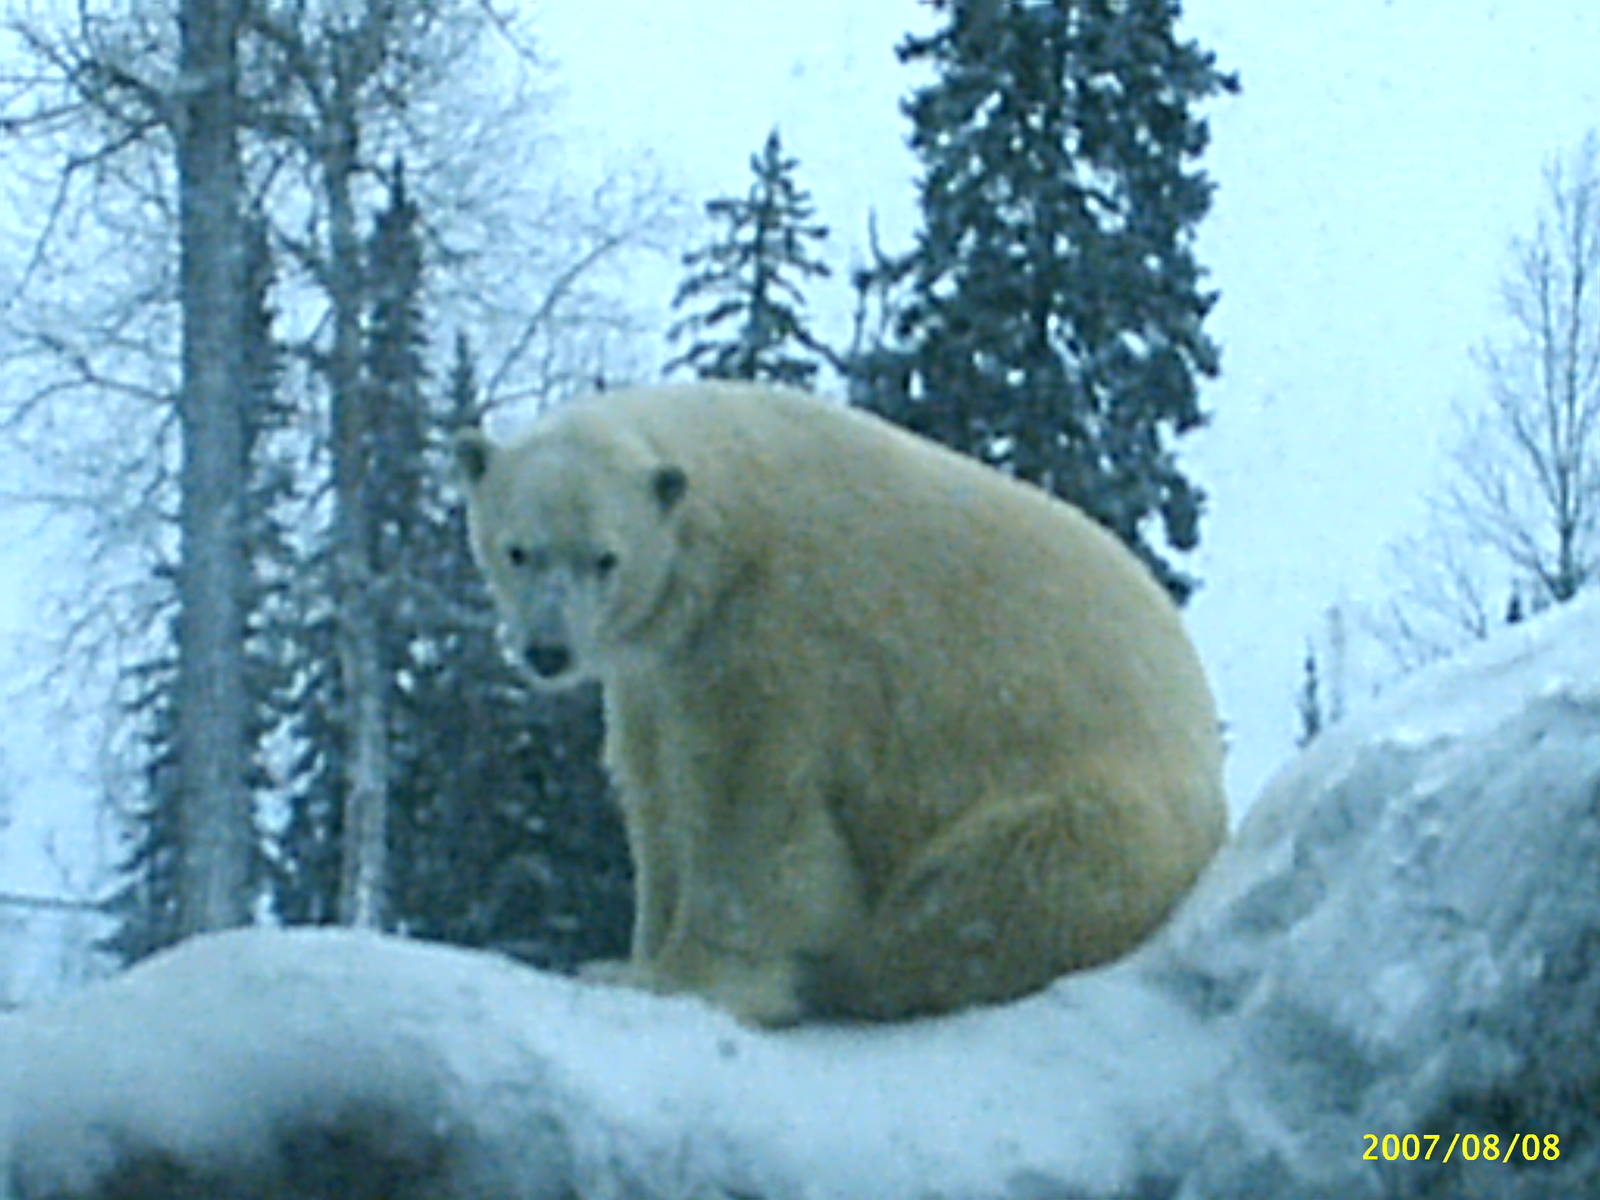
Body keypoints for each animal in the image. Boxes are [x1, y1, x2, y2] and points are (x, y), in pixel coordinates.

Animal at [454, 380, 1226, 1027]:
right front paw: (624, 959)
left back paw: (853, 974)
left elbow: (747, 805)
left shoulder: (781, 633)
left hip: (1089, 811)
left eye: (604, 558)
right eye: (518, 550)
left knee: (987, 892)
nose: (547, 650)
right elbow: (653, 792)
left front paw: (680, 980)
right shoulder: (662, 669)